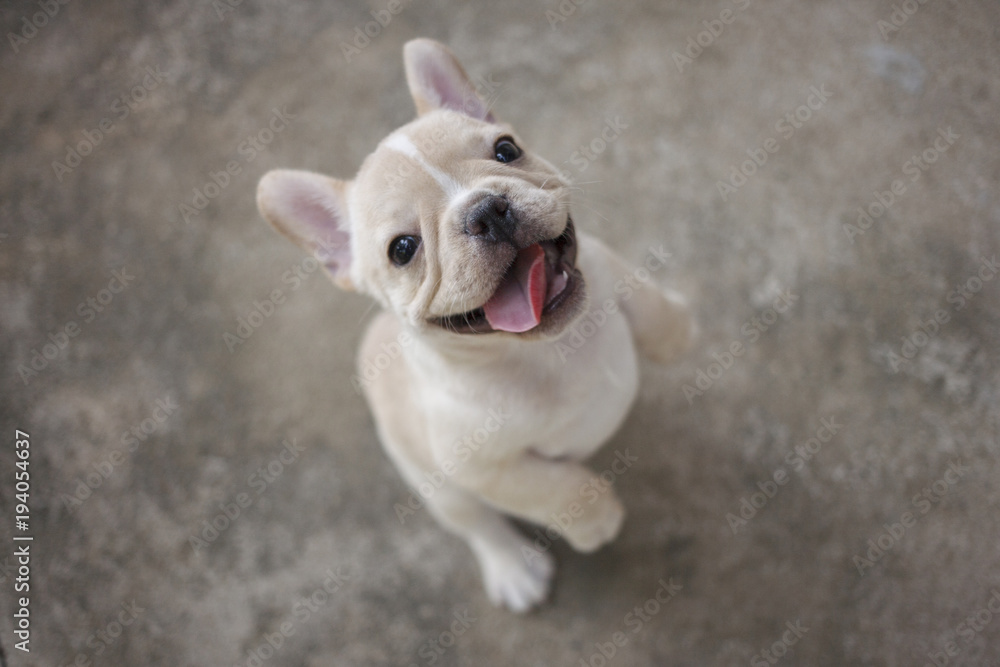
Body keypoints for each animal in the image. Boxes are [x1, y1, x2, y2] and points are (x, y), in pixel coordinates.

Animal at [256, 35, 696, 612]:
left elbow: (641, 294)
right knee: (479, 527)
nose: (486, 209)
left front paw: (676, 332)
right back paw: (514, 568)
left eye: (506, 150)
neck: (544, 349)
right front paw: (596, 518)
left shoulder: (602, 262)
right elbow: (552, 488)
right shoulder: (480, 466)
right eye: (403, 249)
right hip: (439, 490)